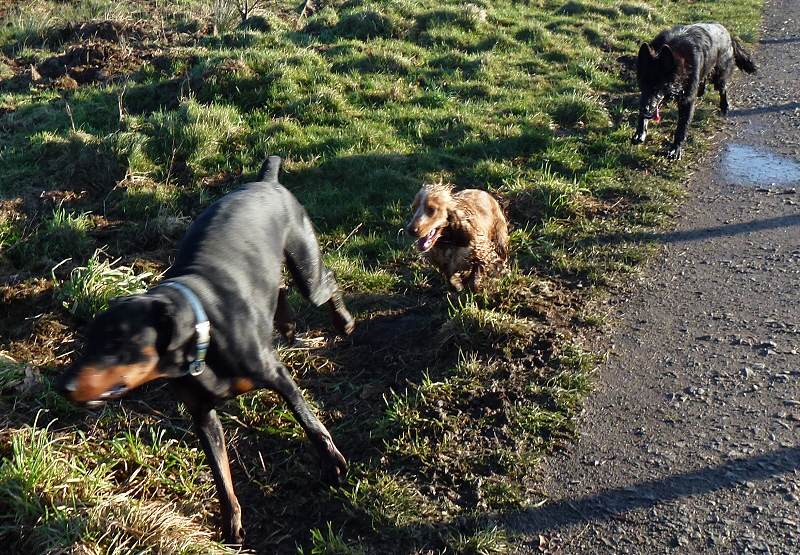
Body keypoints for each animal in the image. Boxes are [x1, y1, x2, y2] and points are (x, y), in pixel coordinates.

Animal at [55, 155, 354, 544]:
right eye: (89, 339)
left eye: (117, 342)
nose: (64, 386)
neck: (203, 335)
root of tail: (267, 181)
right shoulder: (202, 416)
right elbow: (221, 475)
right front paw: (231, 524)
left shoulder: (278, 377)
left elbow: (308, 420)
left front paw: (332, 463)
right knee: (280, 289)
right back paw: (287, 326)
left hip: (306, 265)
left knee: (325, 282)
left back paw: (343, 321)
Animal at [632, 22, 756, 160]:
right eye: (642, 84)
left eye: (658, 87)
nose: (644, 109)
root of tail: (728, 33)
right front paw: (640, 132)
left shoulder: (687, 101)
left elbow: (682, 128)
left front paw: (675, 149)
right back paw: (702, 91)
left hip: (719, 76)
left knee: (723, 90)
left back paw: (724, 106)